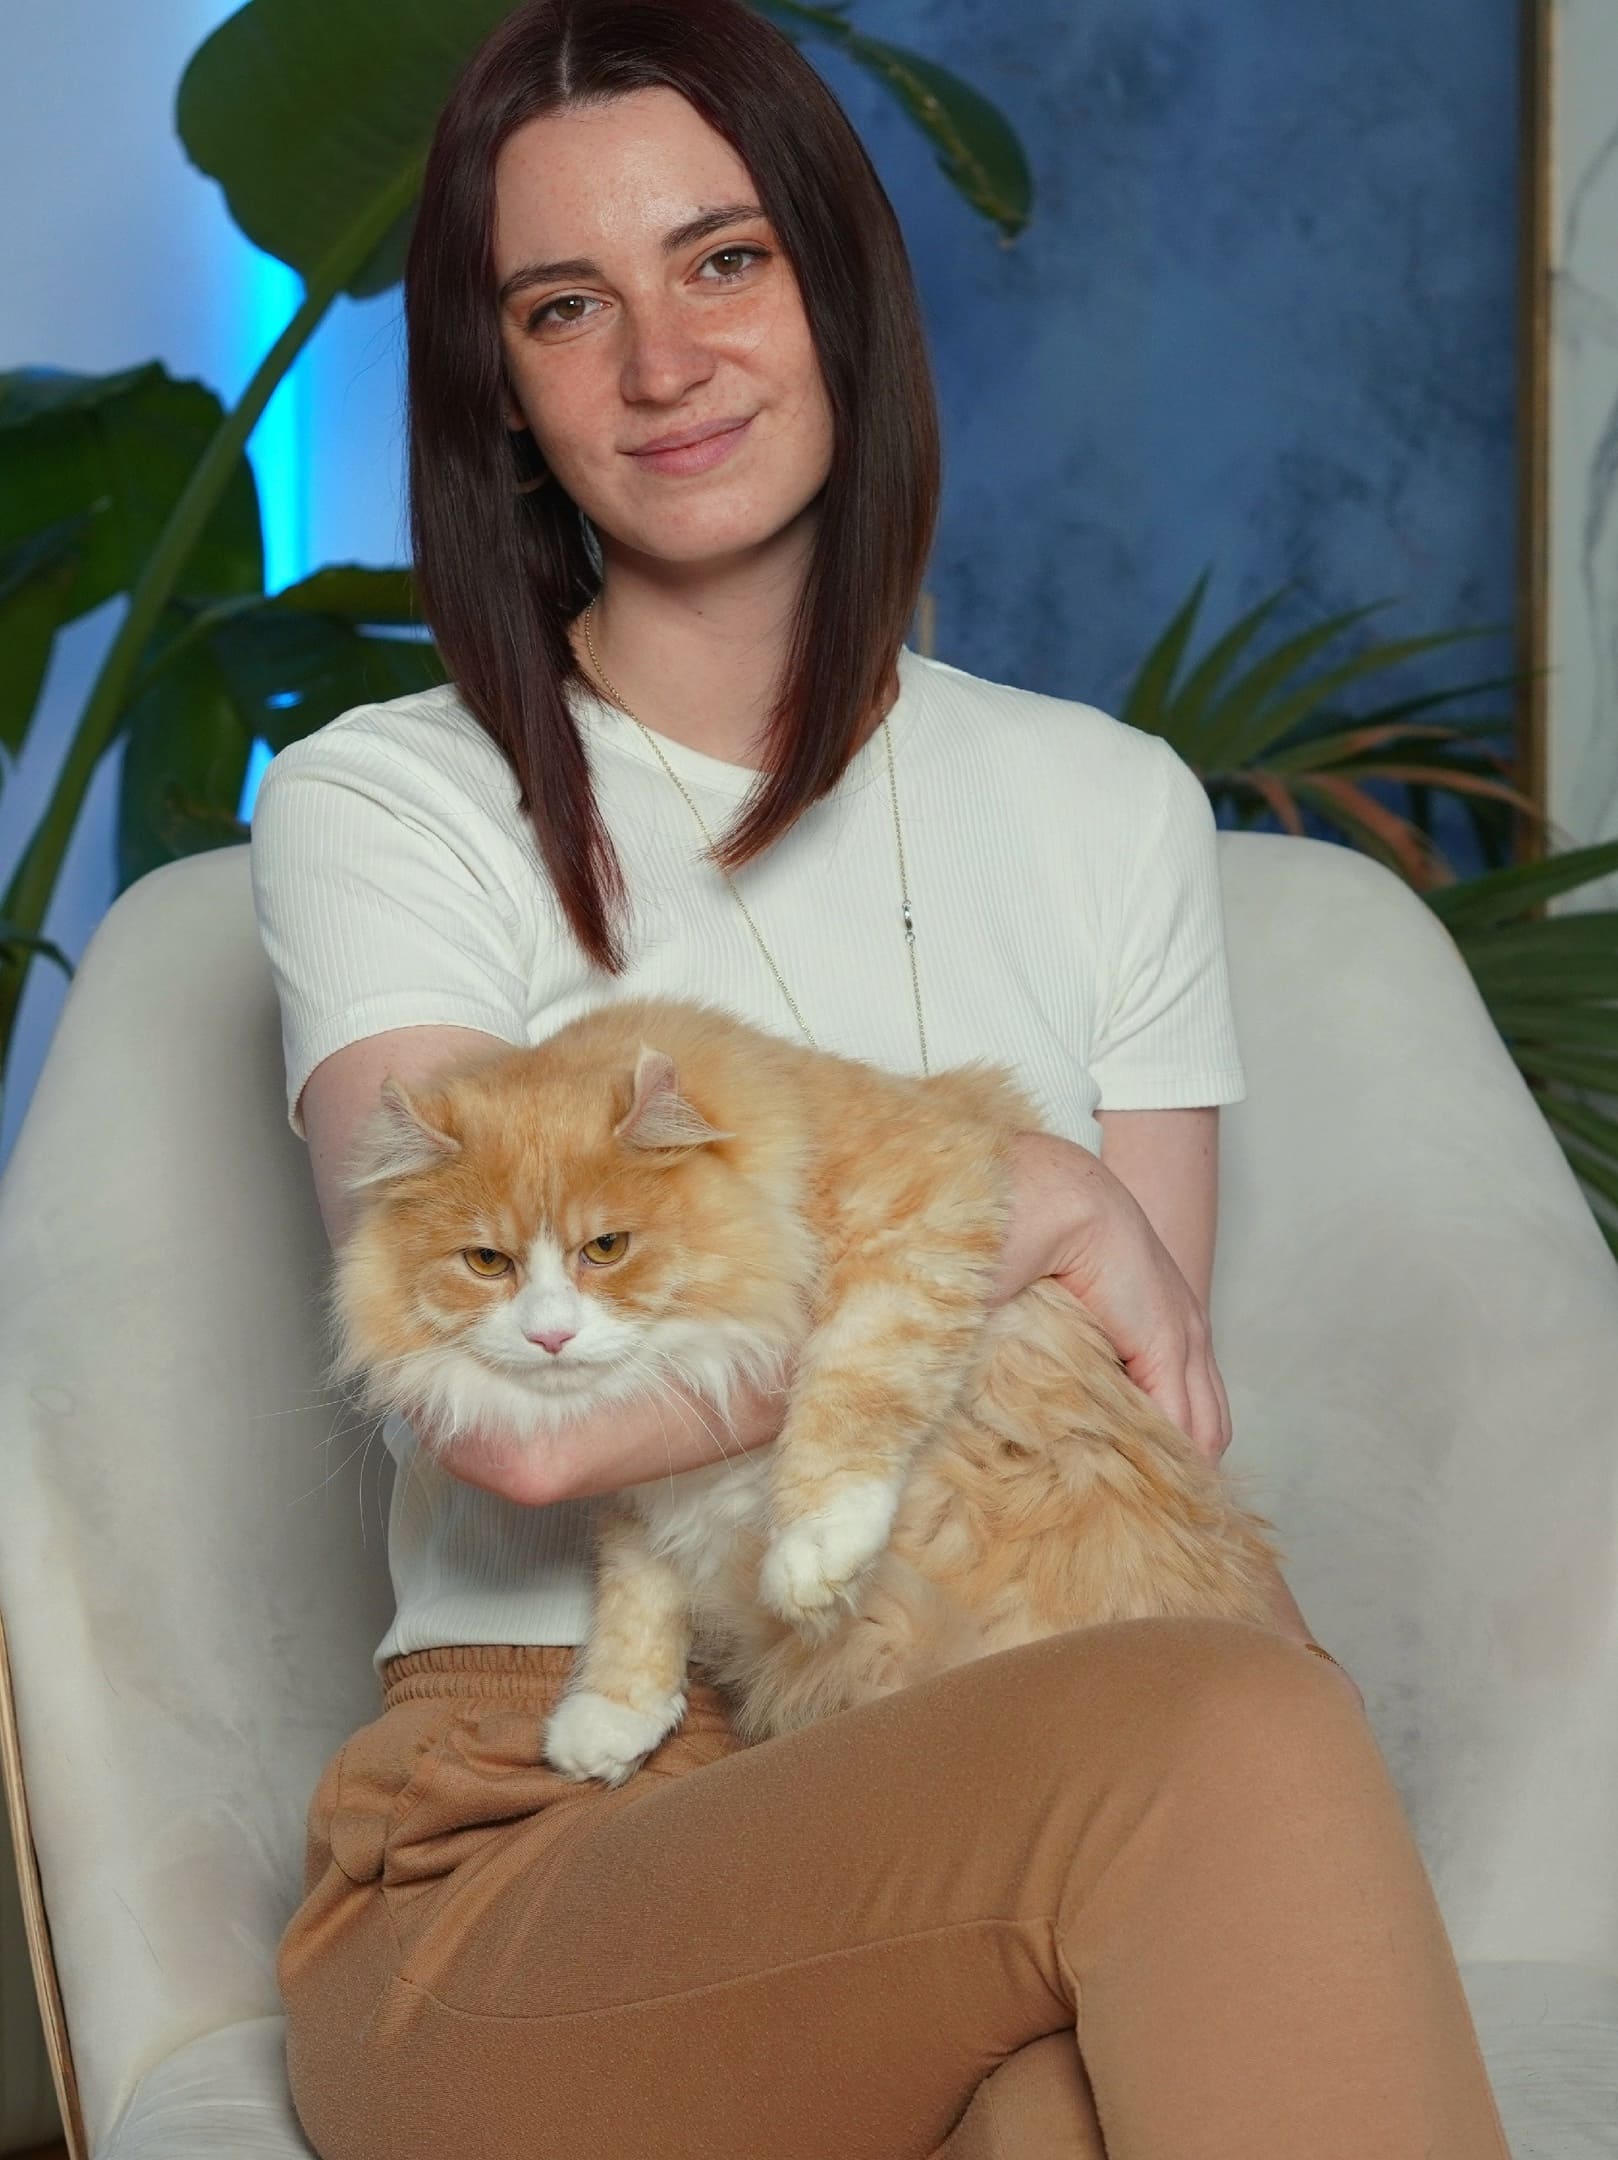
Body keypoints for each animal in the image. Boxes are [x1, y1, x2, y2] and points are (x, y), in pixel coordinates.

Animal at [327, 993, 1288, 1788]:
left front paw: (816, 1552)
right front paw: (612, 1716)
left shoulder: (918, 1219)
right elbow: (638, 1582)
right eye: (487, 1262)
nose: (550, 1335)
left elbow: (856, 1384)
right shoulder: (647, 1479)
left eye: (606, 1248)